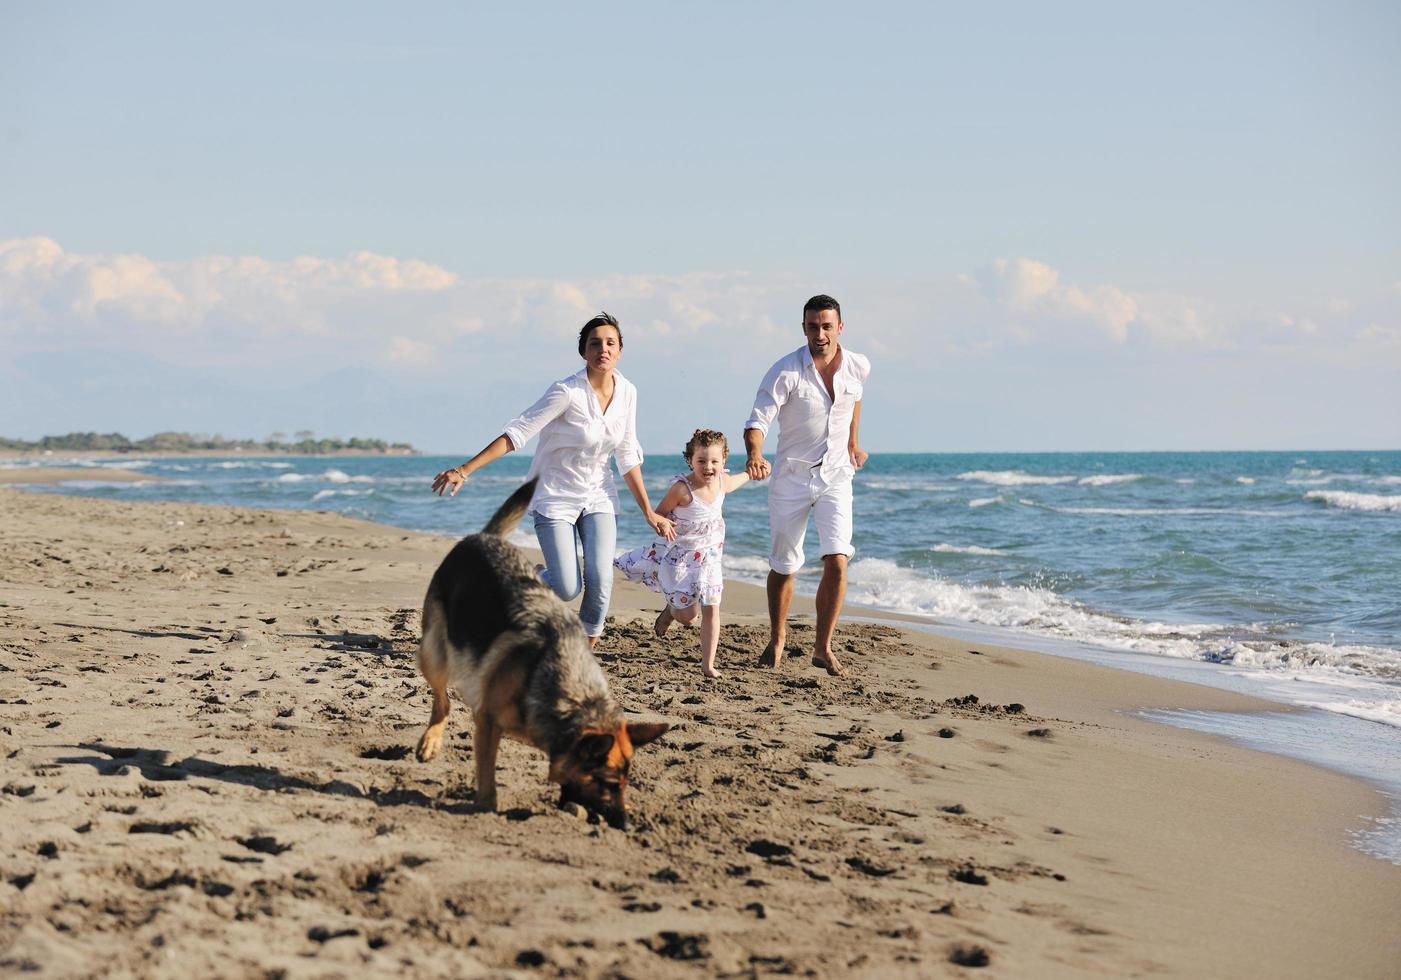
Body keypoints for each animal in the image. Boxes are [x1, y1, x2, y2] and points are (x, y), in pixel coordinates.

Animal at [411, 478, 669, 828]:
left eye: (626, 783)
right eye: (607, 783)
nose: (627, 824)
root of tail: (482, 538)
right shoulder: (487, 723)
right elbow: (487, 780)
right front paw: (486, 807)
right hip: (434, 653)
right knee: (442, 701)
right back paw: (431, 740)